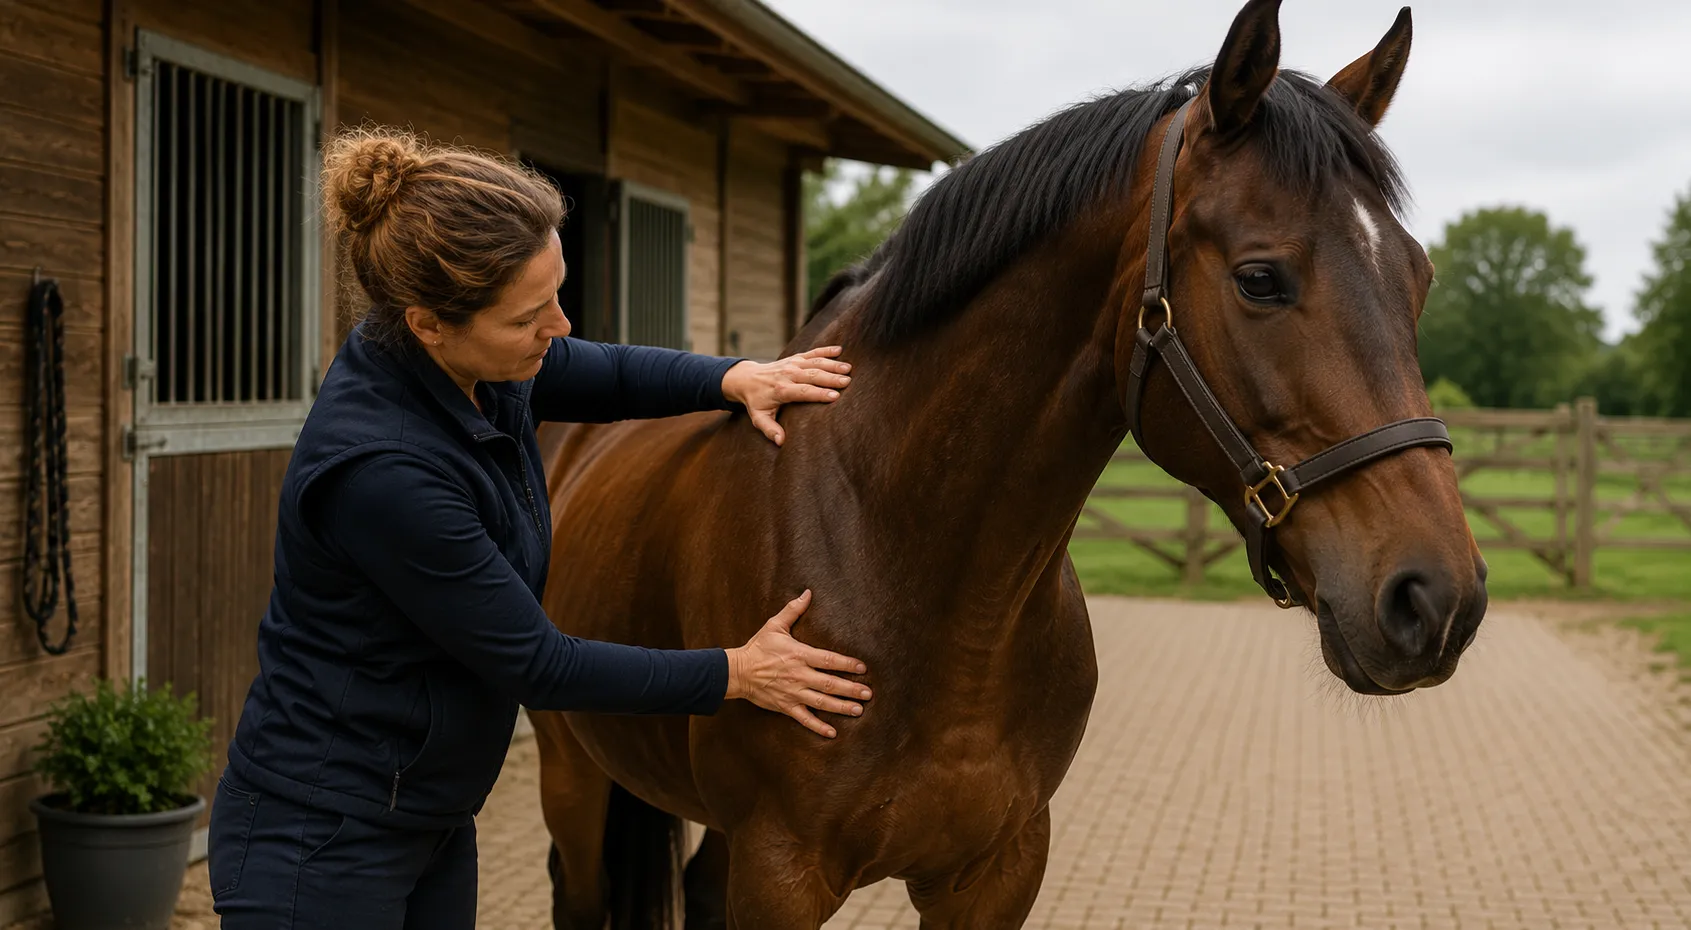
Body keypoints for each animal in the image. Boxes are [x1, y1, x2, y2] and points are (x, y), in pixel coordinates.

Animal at [528, 1, 1488, 926]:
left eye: (1420, 280)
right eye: (1259, 278)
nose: (1437, 600)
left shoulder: (998, 869)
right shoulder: (780, 874)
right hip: (569, 762)